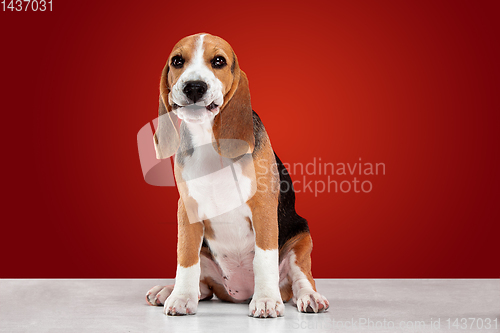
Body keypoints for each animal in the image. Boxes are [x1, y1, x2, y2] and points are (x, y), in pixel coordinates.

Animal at [146, 33, 330, 316]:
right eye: (177, 61)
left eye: (218, 61)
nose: (194, 87)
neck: (208, 138)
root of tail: (240, 293)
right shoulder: (187, 209)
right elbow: (186, 258)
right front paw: (181, 297)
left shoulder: (263, 207)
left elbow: (263, 258)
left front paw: (266, 300)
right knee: (203, 285)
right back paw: (168, 290)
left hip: (301, 239)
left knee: (300, 279)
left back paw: (308, 296)